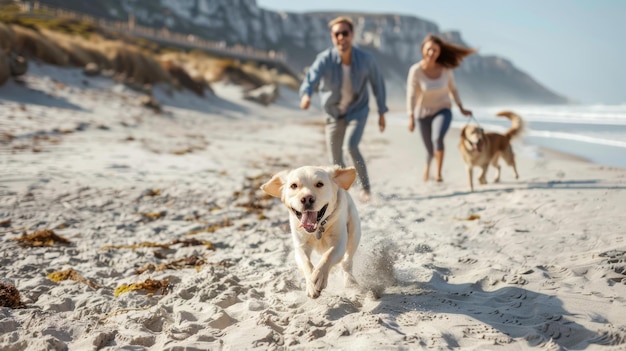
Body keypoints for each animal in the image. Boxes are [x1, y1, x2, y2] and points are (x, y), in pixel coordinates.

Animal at [260, 166, 358, 298]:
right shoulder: (300, 246)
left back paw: (350, 281)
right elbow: (305, 262)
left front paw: (318, 277)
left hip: (354, 232)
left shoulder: (339, 242)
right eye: (294, 185)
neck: (318, 228)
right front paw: (311, 284)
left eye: (319, 184)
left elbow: (328, 255)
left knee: (347, 262)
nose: (307, 199)